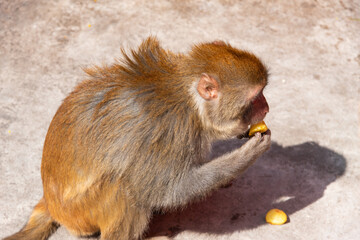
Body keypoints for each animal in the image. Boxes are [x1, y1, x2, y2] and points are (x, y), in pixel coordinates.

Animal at [4, 37, 270, 240]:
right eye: (256, 97)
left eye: (263, 93)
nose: (266, 108)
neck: (190, 103)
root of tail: (51, 204)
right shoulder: (170, 129)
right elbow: (170, 190)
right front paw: (246, 155)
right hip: (82, 213)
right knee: (125, 187)